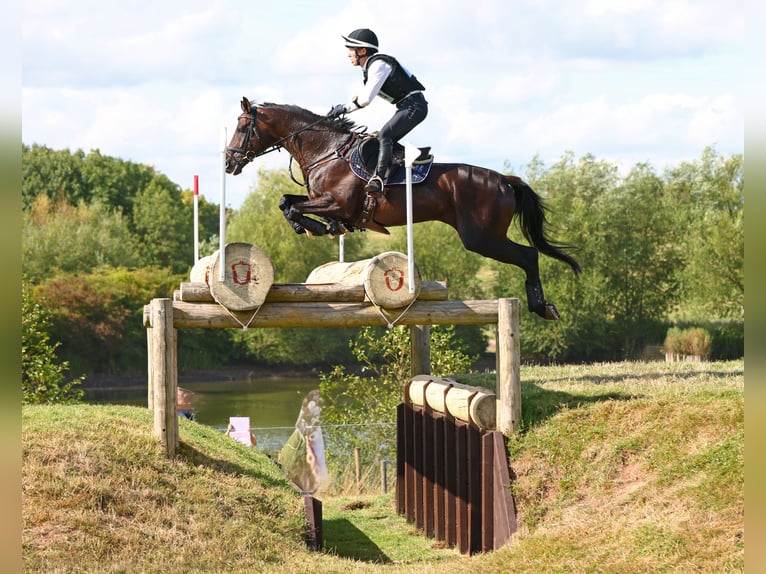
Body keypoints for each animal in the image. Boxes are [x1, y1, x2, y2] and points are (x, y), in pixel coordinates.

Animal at [225, 97, 581, 320]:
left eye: (242, 127)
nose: (229, 162)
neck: (325, 151)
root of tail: (504, 179)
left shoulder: (337, 203)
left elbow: (293, 207)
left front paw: (316, 227)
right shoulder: (324, 201)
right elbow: (286, 202)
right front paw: (318, 227)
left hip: (481, 237)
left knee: (528, 255)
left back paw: (541, 307)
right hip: (484, 237)